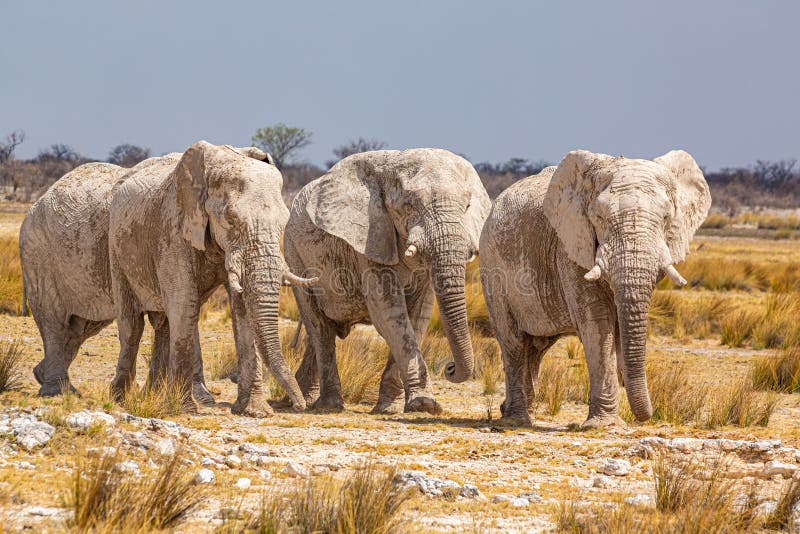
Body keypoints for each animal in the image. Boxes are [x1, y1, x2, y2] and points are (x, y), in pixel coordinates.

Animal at [19, 162, 212, 402]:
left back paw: (47, 378)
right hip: (39, 255)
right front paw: (203, 398)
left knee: (80, 326)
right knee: (53, 319)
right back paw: (55, 391)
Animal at [108, 140, 314, 416]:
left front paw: (255, 411)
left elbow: (242, 308)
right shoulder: (174, 227)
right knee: (132, 325)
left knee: (163, 323)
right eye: (231, 220)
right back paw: (120, 398)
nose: (299, 406)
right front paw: (184, 409)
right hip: (116, 246)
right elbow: (184, 304)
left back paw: (153, 395)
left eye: (284, 223)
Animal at [284, 149, 490, 416]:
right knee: (319, 326)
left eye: (466, 206)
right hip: (294, 254)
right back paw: (330, 405)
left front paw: (394, 407)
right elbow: (390, 316)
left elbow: (417, 316)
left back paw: (304, 399)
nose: (450, 367)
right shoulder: (370, 238)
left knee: (319, 330)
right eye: (409, 205)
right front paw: (423, 405)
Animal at [478, 151, 708, 432]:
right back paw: (516, 420)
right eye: (599, 218)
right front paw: (604, 425)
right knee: (514, 342)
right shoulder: (570, 248)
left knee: (537, 346)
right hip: (492, 266)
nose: (648, 415)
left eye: (666, 218)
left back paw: (511, 412)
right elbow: (598, 324)